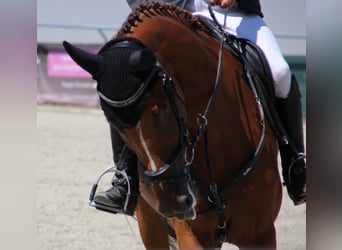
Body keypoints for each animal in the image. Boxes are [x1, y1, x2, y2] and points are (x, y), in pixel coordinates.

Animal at [63, 2, 280, 250]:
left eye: (164, 110)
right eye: (113, 124)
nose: (174, 203)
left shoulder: (261, 233)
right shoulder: (191, 234)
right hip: (150, 219)